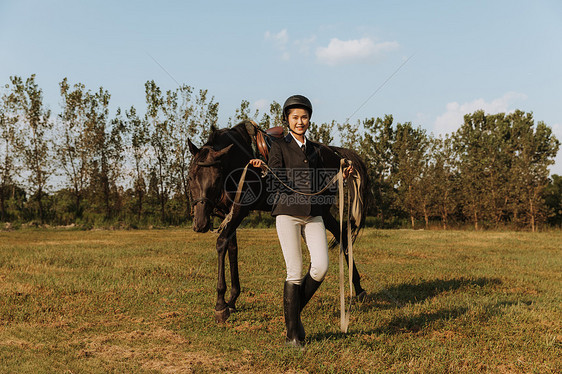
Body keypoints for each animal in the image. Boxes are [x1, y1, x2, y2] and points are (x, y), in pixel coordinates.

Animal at [188, 120, 370, 322]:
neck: (239, 163)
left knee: (341, 238)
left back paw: (358, 289)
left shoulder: (240, 210)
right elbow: (232, 248)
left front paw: (221, 305)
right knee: (338, 238)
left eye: (216, 177)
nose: (200, 223)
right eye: (191, 176)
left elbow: (221, 244)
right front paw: (232, 299)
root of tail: (332, 152)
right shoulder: (226, 214)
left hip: (321, 208)